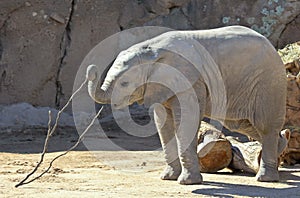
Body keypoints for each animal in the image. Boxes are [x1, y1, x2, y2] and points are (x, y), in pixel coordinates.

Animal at [87, 25, 288, 185]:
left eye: (124, 83)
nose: (91, 69)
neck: (151, 51)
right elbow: (163, 124)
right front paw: (167, 177)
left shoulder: (190, 82)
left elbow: (186, 121)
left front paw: (187, 182)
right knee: (243, 124)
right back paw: (281, 145)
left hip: (269, 82)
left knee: (264, 125)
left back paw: (265, 178)